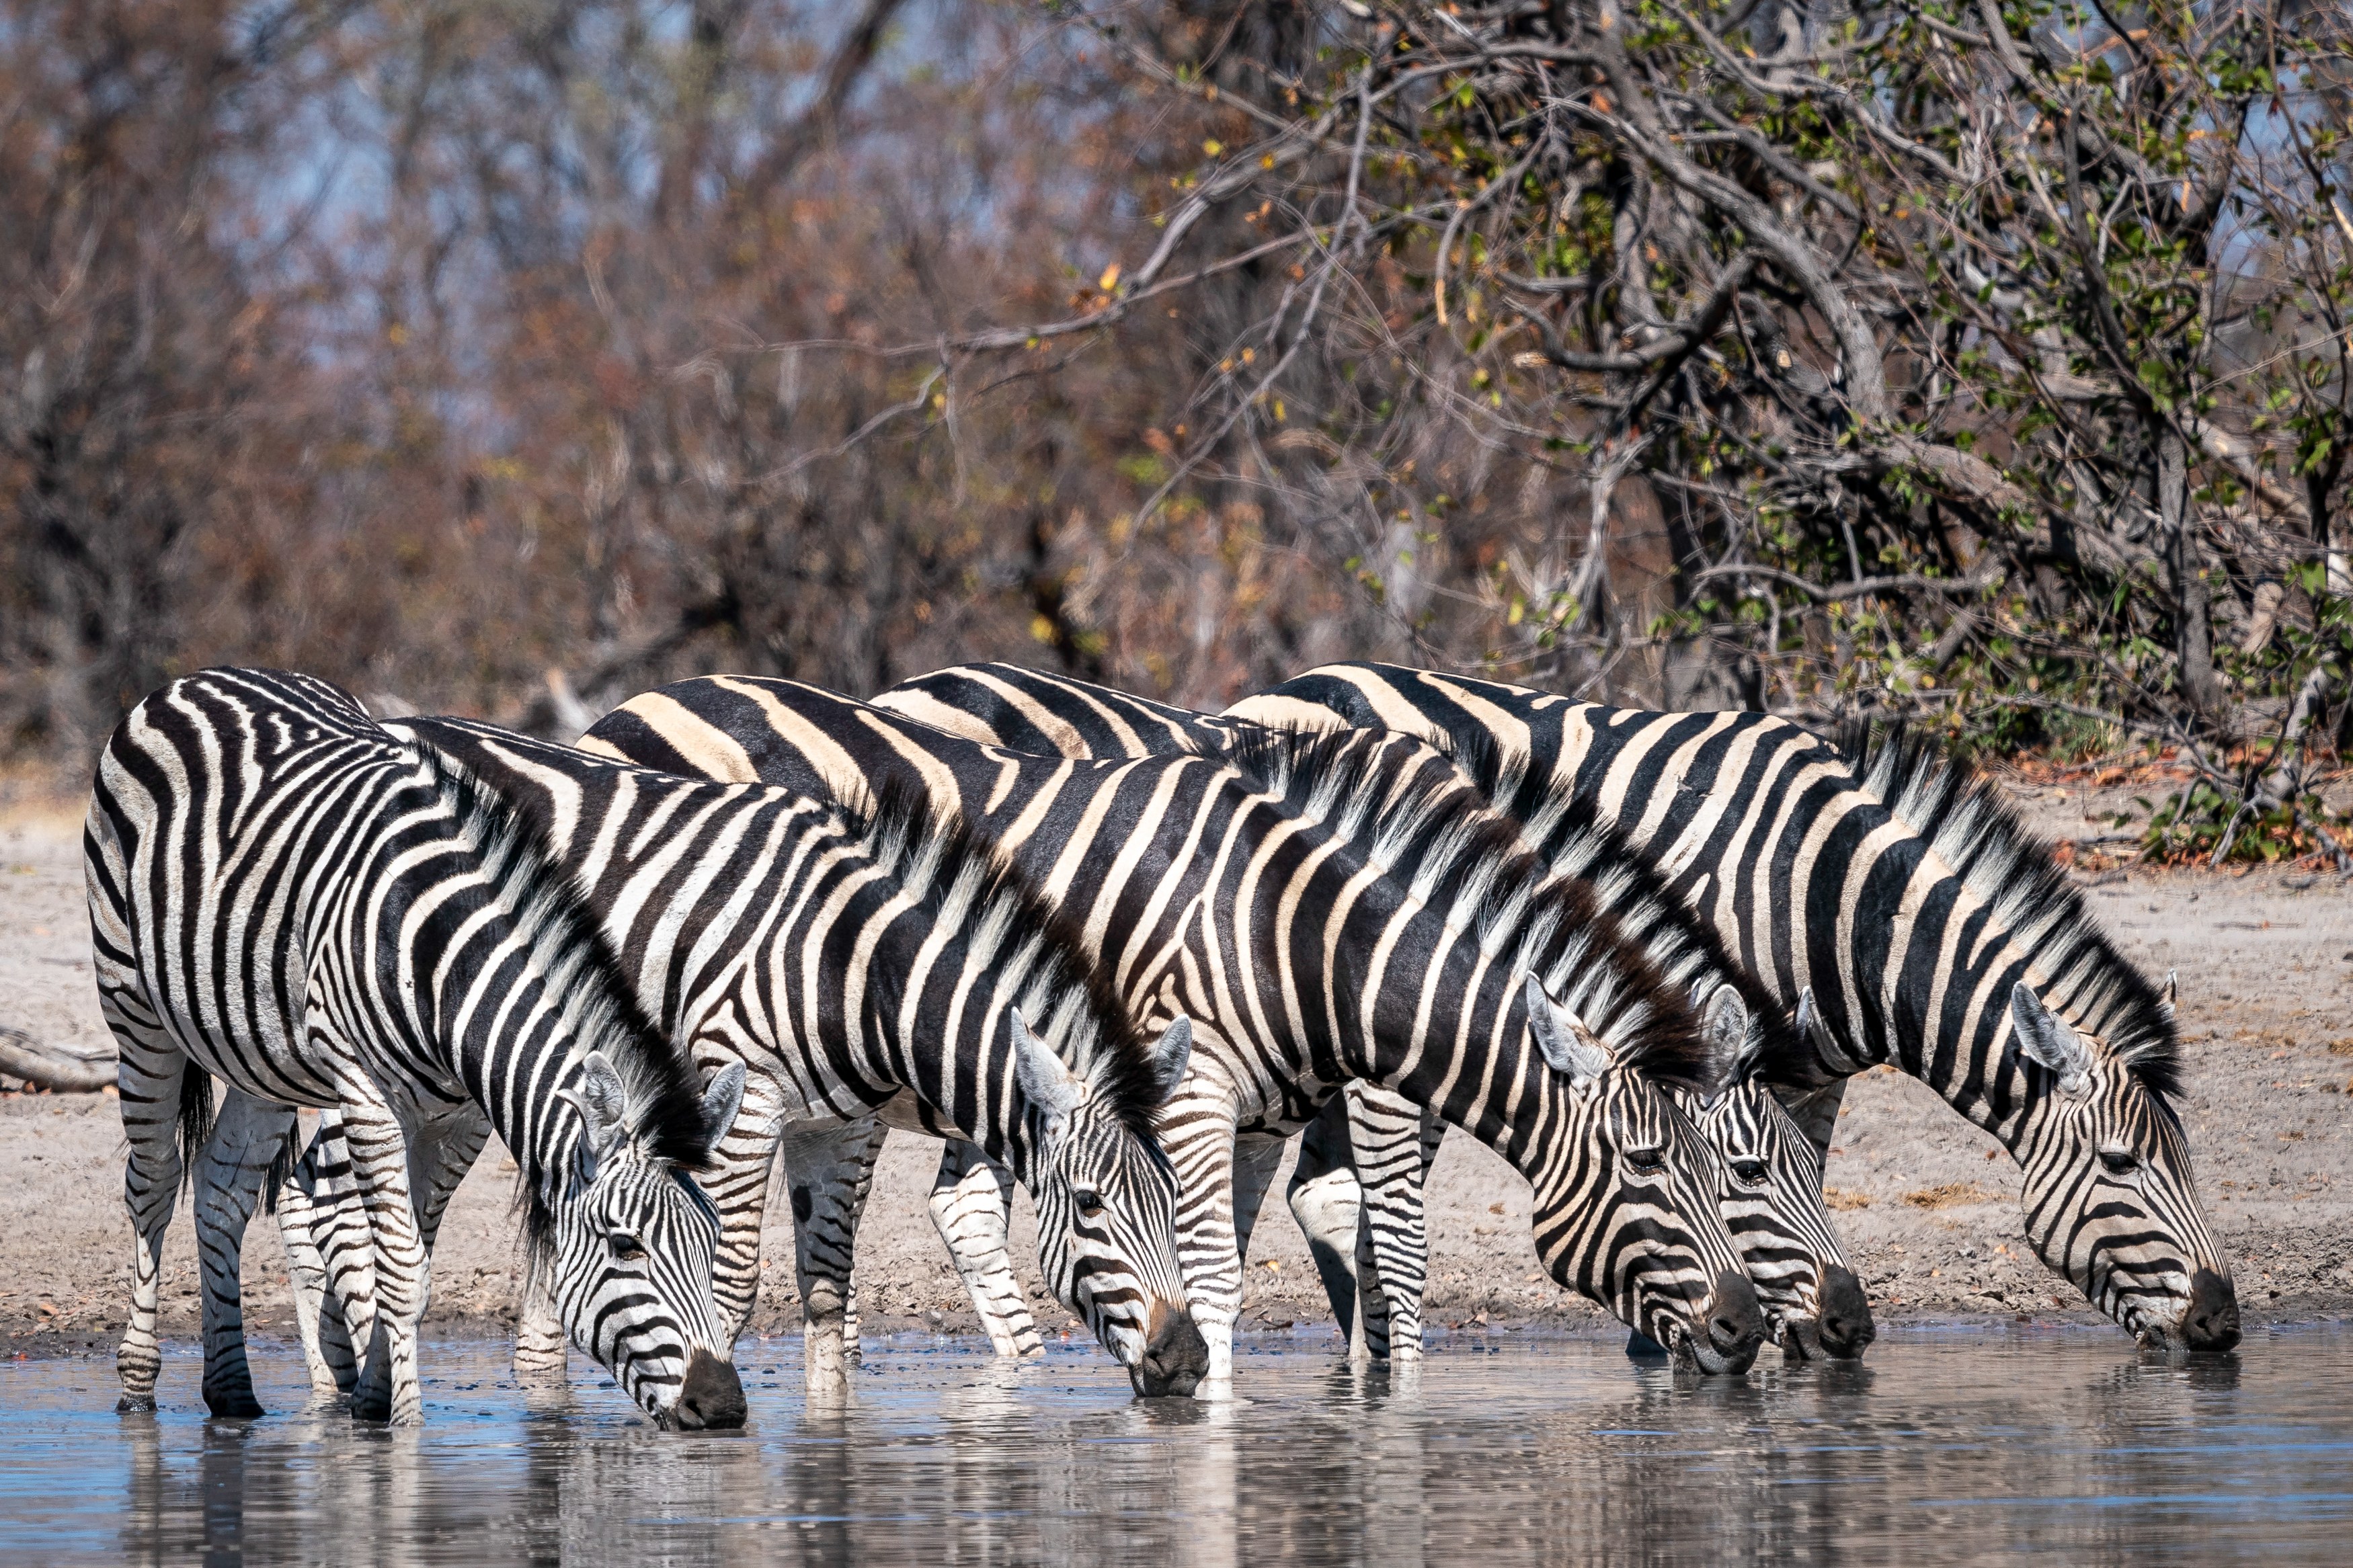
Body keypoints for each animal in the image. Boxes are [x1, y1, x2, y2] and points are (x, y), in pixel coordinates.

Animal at [83, 668, 749, 1428]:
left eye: (711, 1241)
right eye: (625, 1244)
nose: (723, 1406)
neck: (447, 967)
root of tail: (200, 677)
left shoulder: (458, 1118)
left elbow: (418, 1261)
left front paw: (372, 1400)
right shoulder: (368, 1094)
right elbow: (399, 1266)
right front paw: (404, 1425)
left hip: (262, 1056)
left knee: (222, 1187)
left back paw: (230, 1389)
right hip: (133, 1005)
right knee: (154, 1181)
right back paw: (138, 1384)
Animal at [283, 716, 1210, 1399]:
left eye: (1171, 1197)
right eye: (1089, 1204)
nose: (1189, 1361)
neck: (854, 963)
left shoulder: (840, 1125)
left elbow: (827, 1292)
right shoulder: (743, 1099)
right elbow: (729, 1286)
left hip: (469, 1085)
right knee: (314, 1200)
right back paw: (331, 1384)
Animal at [582, 676, 1770, 1385]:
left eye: (1729, 1171)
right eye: (1655, 1166)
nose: (1746, 1332)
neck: (1304, 929)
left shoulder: (1257, 1115)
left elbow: (1229, 1266)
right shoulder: (1243, 1096)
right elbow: (1370, 1249)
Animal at [1233, 663, 2240, 1352]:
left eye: (2189, 1160)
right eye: (2121, 1163)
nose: (2224, 1325)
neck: (1832, 903)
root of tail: (1280, 694)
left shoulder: (1808, 1074)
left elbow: (1792, 1188)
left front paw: (1802, 1333)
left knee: (1315, 1188)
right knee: (1370, 1201)